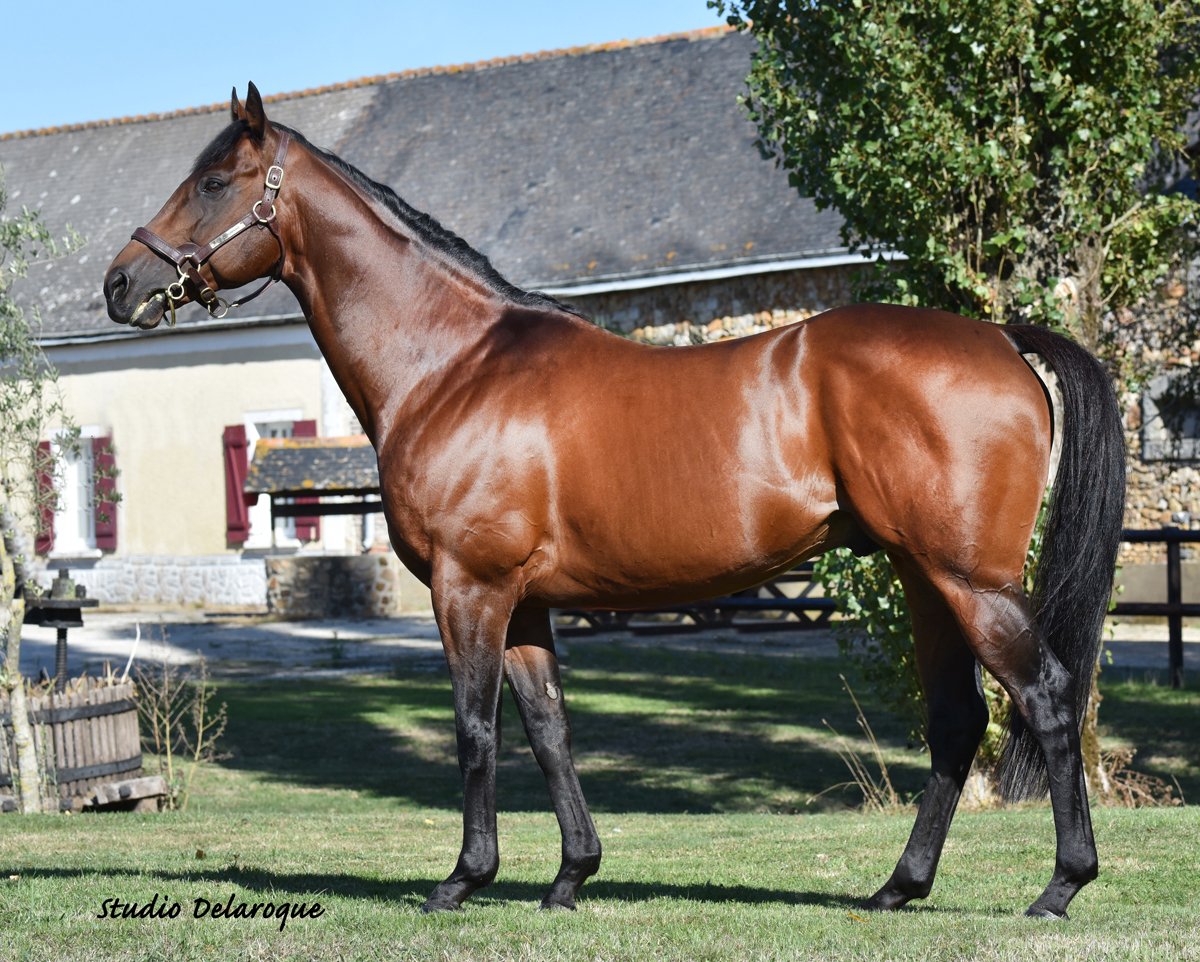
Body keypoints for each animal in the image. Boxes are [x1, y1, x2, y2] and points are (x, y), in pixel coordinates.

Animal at [103, 83, 1124, 919]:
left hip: (971, 581)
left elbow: (476, 731)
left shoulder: (469, 589)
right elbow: (550, 730)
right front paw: (569, 876)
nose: (121, 283)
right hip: (924, 579)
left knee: (1046, 694)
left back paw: (1061, 886)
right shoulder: (525, 605)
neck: (451, 366)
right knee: (957, 721)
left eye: (214, 182)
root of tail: (1000, 338)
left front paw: (464, 879)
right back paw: (897, 888)